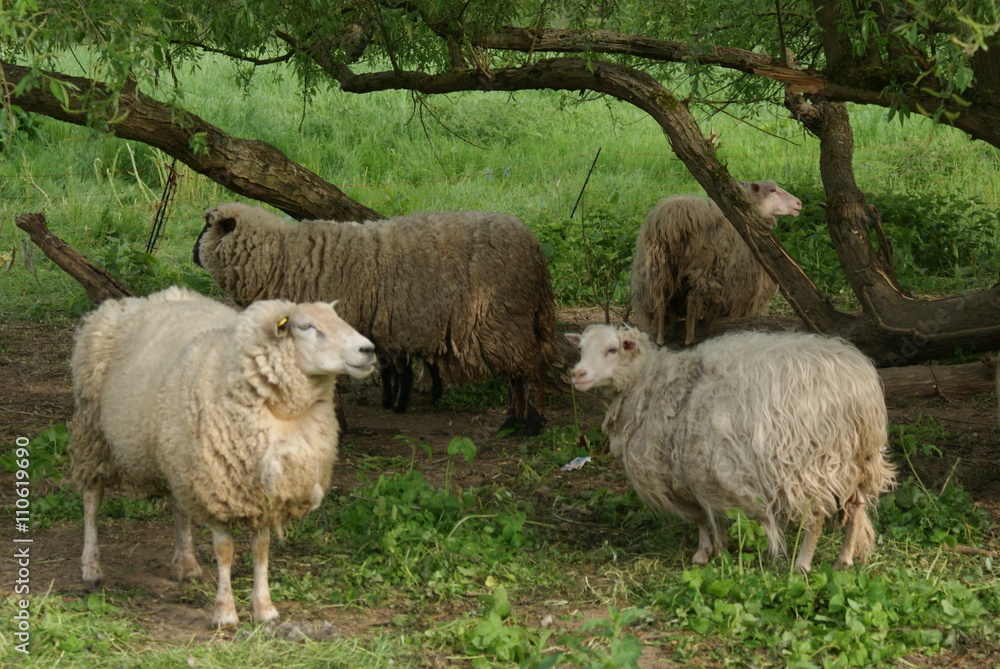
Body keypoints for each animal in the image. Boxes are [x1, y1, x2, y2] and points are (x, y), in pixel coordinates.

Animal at [68, 286, 376, 626]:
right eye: (307, 326)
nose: (369, 350)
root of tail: (132, 300)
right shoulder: (219, 486)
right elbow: (225, 550)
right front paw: (225, 612)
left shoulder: (260, 492)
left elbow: (261, 549)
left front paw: (265, 609)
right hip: (92, 431)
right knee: (92, 499)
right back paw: (91, 569)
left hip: (178, 453)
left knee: (178, 504)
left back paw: (187, 563)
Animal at [193, 203, 557, 435]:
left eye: (207, 226)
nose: (192, 254)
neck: (279, 258)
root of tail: (534, 248)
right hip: (507, 324)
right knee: (516, 374)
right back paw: (511, 422)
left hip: (501, 316)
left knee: (532, 368)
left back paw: (533, 425)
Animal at [566, 324, 896, 574]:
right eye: (581, 349)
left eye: (612, 349)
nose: (577, 374)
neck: (651, 382)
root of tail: (858, 385)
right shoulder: (696, 473)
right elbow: (712, 517)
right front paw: (718, 550)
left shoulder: (689, 472)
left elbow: (702, 517)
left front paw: (705, 552)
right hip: (858, 459)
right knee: (856, 507)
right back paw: (844, 560)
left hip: (807, 464)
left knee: (814, 517)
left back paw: (802, 565)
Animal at [630, 180, 803, 346]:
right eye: (772, 190)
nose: (799, 203)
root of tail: (672, 219)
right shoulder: (742, 290)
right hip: (701, 266)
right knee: (691, 302)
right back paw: (689, 339)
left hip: (657, 266)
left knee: (661, 302)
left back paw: (660, 339)